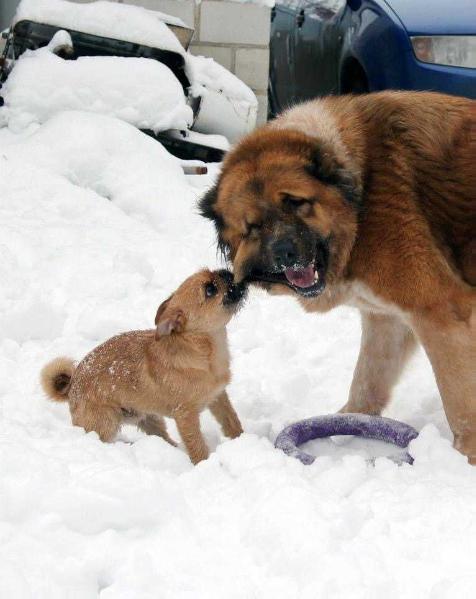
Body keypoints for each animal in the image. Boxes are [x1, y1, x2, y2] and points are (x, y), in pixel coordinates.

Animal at [41, 270, 245, 466]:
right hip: (106, 423)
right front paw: (204, 465)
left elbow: (232, 422)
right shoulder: (186, 415)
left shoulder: (218, 397)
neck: (205, 350)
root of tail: (71, 386)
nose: (227, 271)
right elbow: (197, 445)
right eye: (210, 289)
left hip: (150, 418)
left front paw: (242, 440)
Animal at [201, 90, 476, 464]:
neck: (361, 201)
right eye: (253, 226)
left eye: (296, 202)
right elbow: (366, 385)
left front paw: (462, 459)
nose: (286, 254)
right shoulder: (386, 320)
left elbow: (460, 406)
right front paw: (346, 426)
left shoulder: (441, 312)